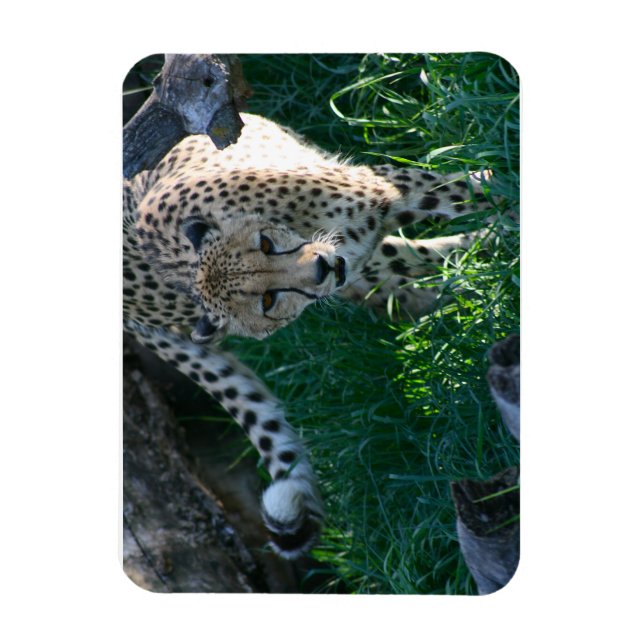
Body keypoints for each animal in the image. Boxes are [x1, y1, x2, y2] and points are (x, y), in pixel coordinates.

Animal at [123, 112, 493, 559]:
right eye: (266, 301)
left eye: (265, 243)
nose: (320, 268)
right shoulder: (372, 226)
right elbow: (463, 201)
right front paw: (497, 227)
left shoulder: (373, 212)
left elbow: (461, 193)